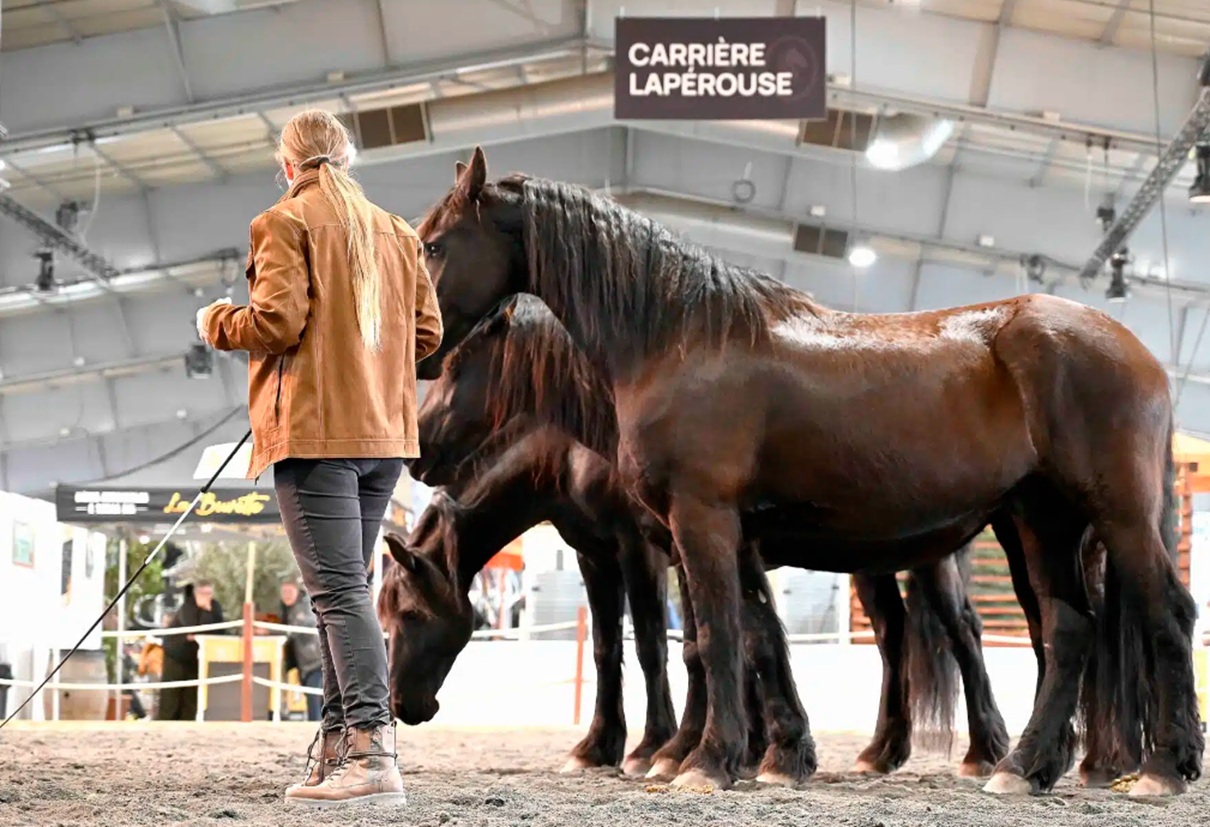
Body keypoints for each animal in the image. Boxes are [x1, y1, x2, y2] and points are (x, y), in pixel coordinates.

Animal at [413, 148, 1198, 795]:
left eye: (434, 243)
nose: (418, 446)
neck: (681, 341)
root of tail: (1136, 350)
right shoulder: (725, 534)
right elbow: (754, 635)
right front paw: (772, 754)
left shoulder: (698, 521)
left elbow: (714, 636)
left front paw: (703, 761)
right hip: (1042, 521)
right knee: (1068, 630)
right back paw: (1026, 765)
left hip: (1114, 516)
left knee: (1163, 613)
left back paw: (1158, 766)